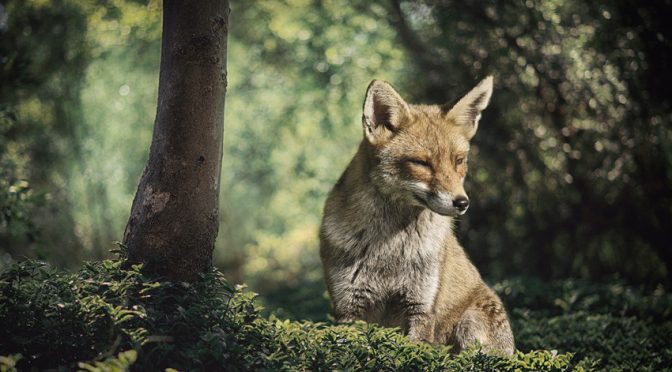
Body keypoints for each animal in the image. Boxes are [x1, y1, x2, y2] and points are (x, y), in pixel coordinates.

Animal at [320, 75, 516, 354]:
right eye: (421, 163)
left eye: (458, 161)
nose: (462, 203)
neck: (389, 249)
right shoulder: (349, 308)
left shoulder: (421, 306)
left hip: (469, 323)